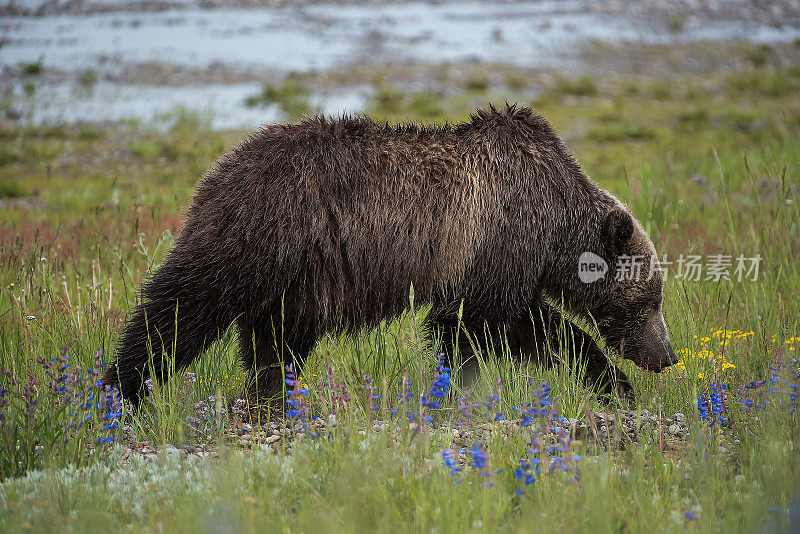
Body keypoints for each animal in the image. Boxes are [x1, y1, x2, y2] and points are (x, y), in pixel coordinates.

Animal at [106, 103, 680, 406]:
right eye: (649, 299)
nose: (667, 355)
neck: (556, 226)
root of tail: (221, 167)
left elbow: (528, 329)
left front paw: (611, 384)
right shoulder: (494, 245)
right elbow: (482, 326)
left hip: (298, 279)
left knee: (275, 338)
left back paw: (274, 399)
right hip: (259, 232)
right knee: (182, 307)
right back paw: (121, 390)